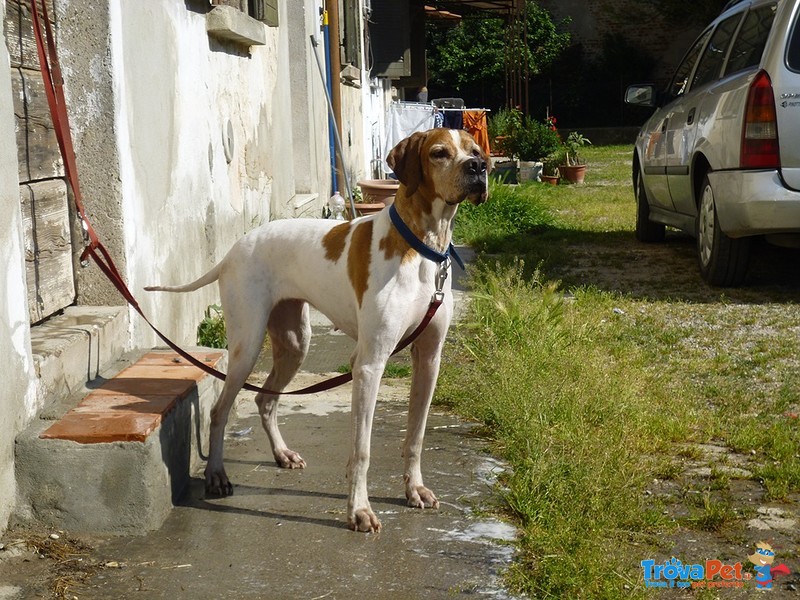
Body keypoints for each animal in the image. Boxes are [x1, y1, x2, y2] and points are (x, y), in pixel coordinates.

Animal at [147, 129, 490, 532]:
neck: (422, 247)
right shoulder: (370, 363)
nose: (479, 168)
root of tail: (233, 250)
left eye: (475, 150)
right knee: (219, 411)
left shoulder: (429, 358)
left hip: (295, 343)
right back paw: (217, 475)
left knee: (266, 401)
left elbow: (416, 435)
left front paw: (415, 490)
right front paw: (359, 510)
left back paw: (282, 454)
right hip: (247, 345)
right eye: (439, 153)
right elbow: (361, 449)